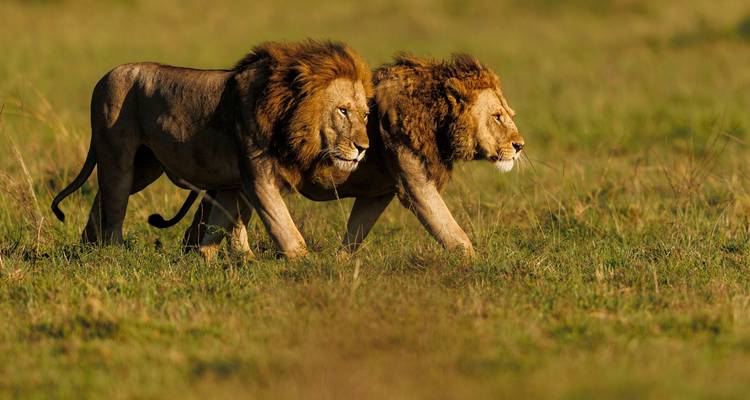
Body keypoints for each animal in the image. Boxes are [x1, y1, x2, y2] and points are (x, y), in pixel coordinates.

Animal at [50, 40, 372, 259]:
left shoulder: (235, 182)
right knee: (115, 203)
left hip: (145, 166)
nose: (363, 148)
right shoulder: (259, 177)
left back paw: (88, 245)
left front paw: (219, 259)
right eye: (342, 111)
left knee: (102, 198)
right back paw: (112, 251)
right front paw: (308, 264)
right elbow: (284, 227)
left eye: (366, 116)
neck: (286, 114)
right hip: (118, 155)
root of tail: (104, 77)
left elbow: (225, 220)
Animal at [150, 53, 525, 257]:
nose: (520, 145)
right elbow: (453, 234)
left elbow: (355, 234)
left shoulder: (378, 192)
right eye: (497, 117)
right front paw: (479, 267)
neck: (434, 116)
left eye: (510, 114)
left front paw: (339, 264)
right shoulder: (415, 184)